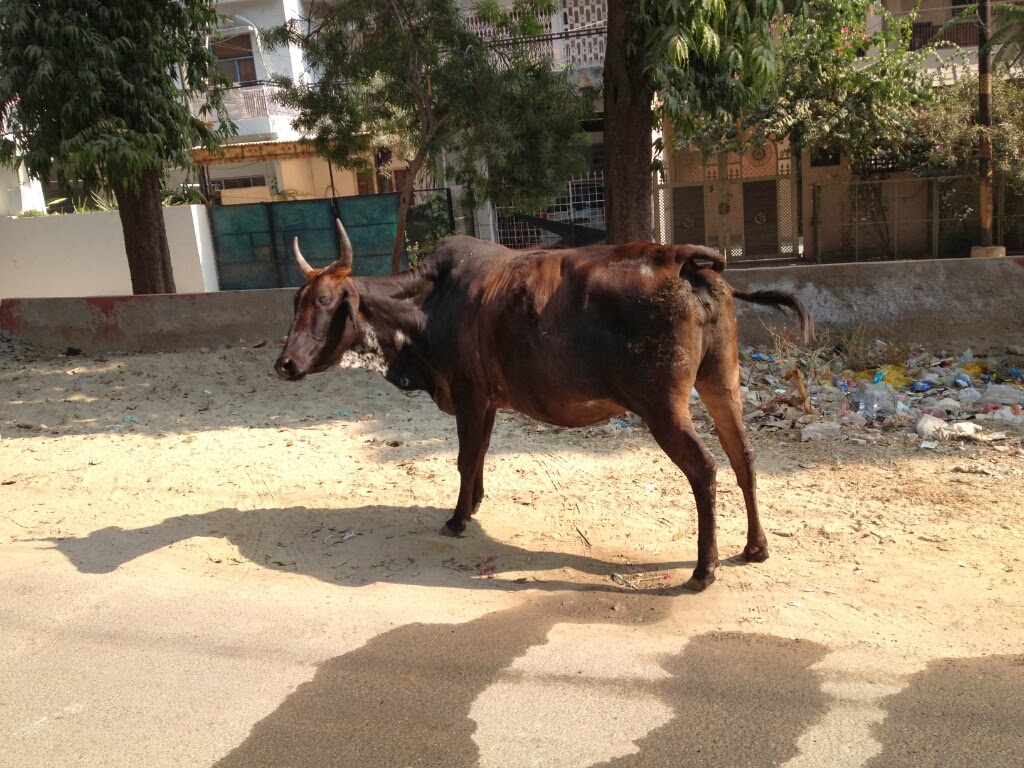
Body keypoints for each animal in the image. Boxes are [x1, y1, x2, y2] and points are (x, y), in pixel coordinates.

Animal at [275, 220, 812, 591]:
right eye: (295, 302)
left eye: (325, 302)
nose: (284, 364)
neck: (430, 302)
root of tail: (679, 259)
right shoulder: (488, 399)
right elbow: (478, 457)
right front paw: (473, 504)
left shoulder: (468, 394)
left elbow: (464, 458)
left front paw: (456, 519)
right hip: (721, 382)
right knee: (744, 457)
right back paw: (755, 547)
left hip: (663, 407)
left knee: (705, 470)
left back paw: (704, 568)